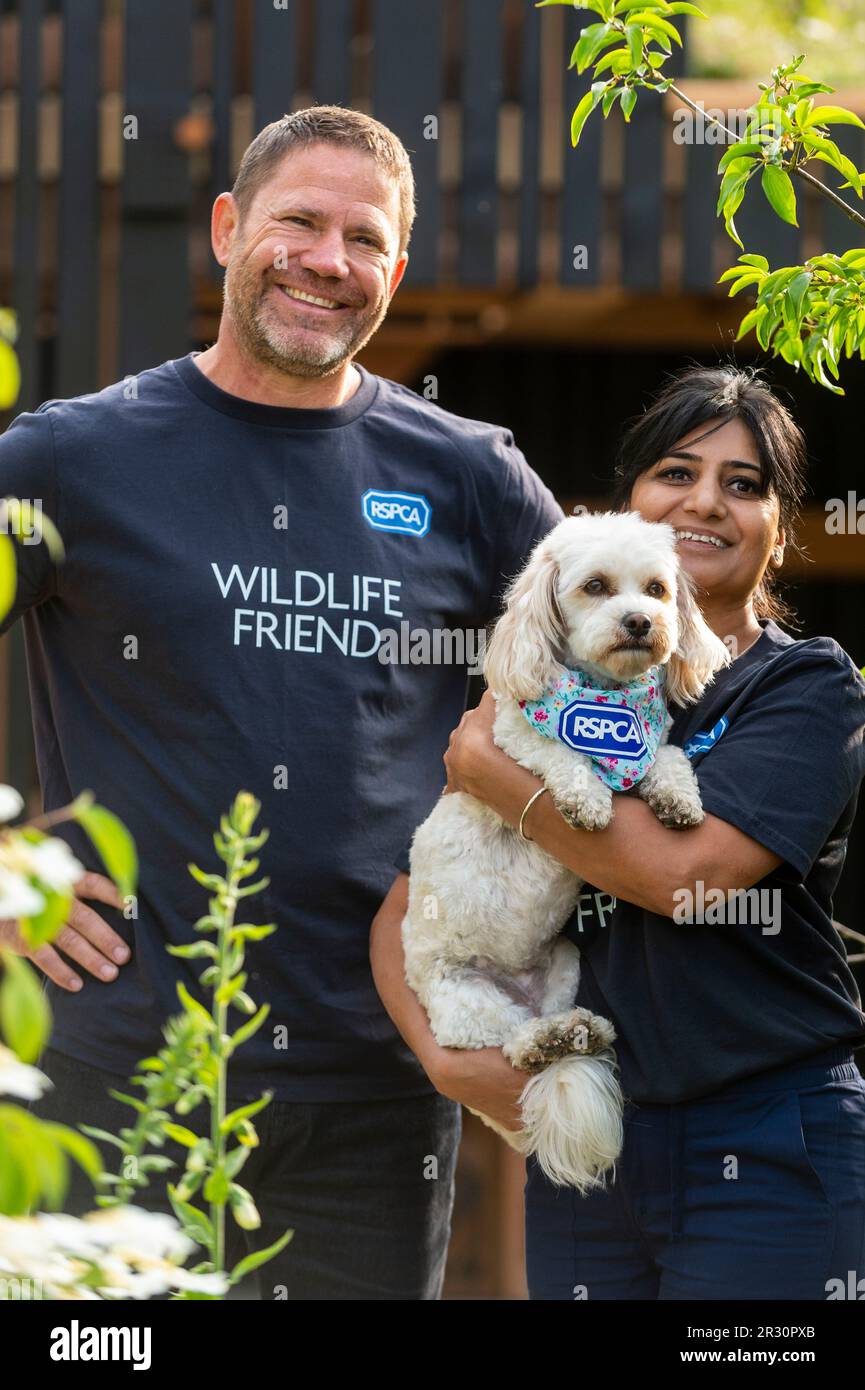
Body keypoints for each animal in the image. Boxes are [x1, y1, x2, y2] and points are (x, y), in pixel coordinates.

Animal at [403, 517, 728, 1189]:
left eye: (656, 589)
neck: (605, 707)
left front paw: (676, 797)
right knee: (508, 1044)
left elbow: (668, 756)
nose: (640, 621)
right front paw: (588, 799)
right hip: (464, 1001)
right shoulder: (508, 736)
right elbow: (557, 752)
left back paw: (580, 1031)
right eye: (595, 586)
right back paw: (543, 1044)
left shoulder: (654, 743)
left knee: (557, 1023)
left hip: (563, 968)